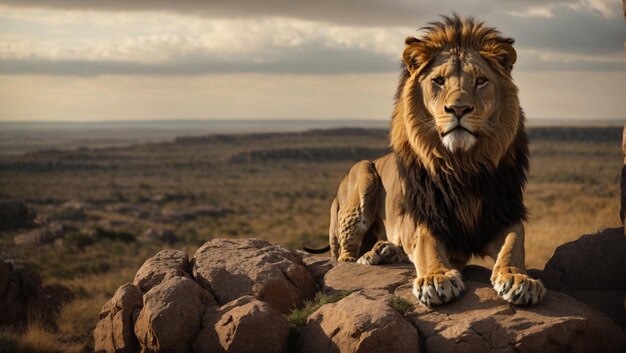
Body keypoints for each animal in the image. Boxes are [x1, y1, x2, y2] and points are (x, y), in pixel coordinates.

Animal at [304, 14, 544, 306]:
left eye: (480, 81)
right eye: (438, 81)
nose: (458, 109)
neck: (462, 164)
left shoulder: (504, 213)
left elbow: (514, 244)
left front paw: (519, 278)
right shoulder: (427, 216)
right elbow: (428, 245)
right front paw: (436, 278)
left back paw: (385, 250)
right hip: (363, 174)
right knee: (343, 255)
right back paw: (366, 256)